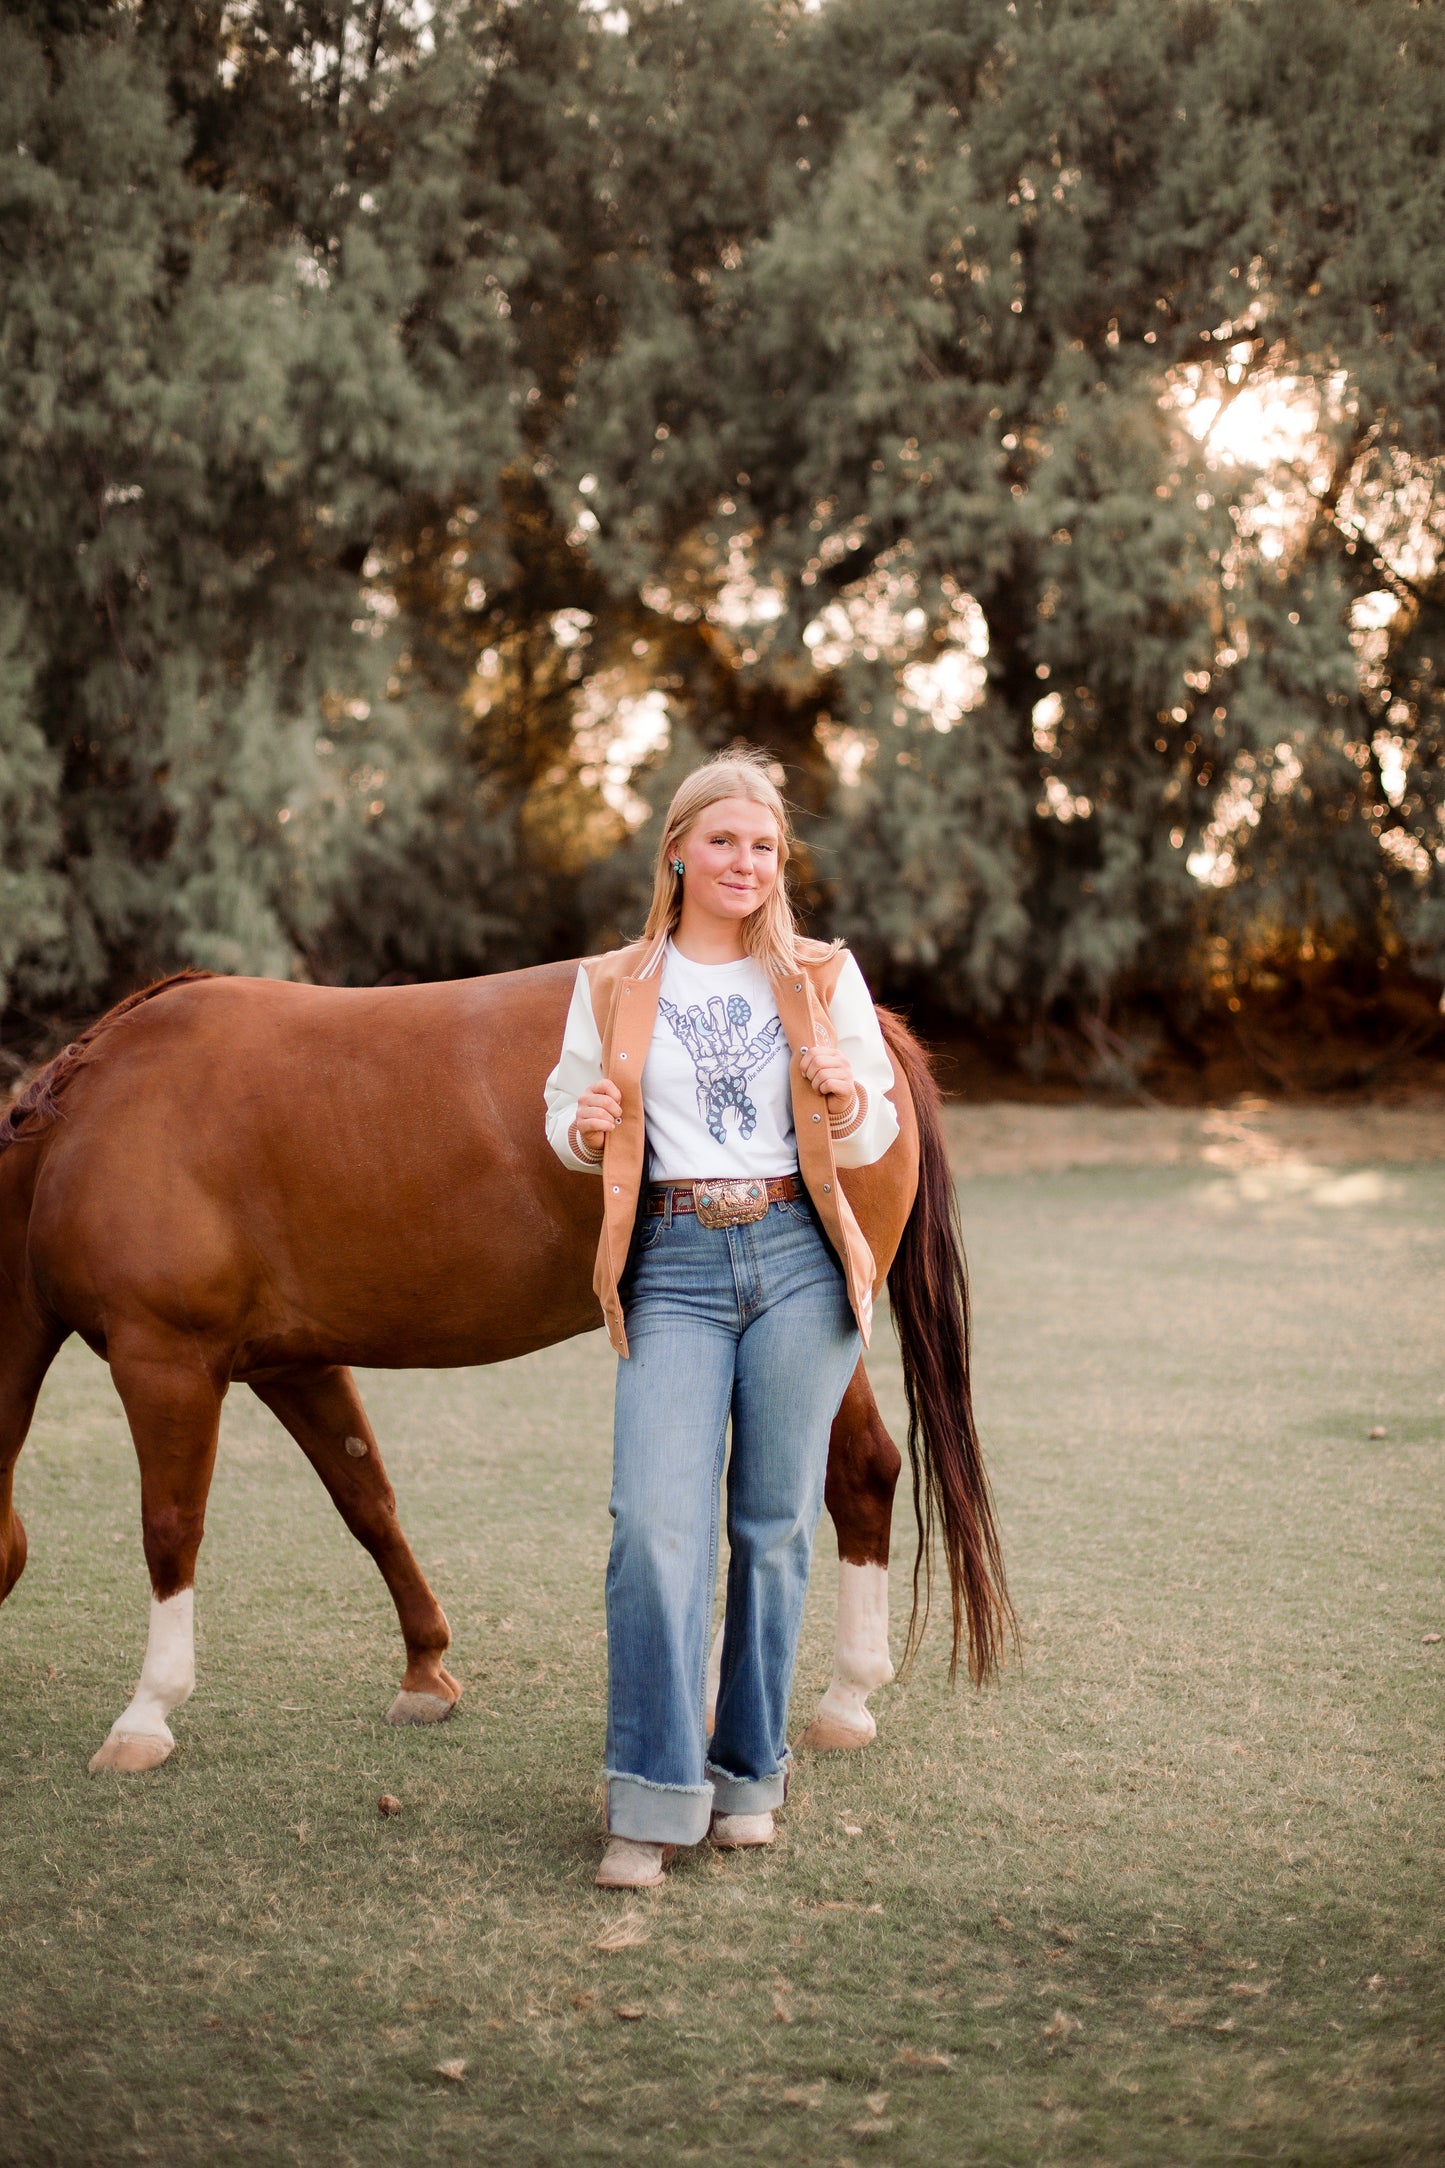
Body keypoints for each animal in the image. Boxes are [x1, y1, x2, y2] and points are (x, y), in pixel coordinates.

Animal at [0, 971, 1005, 1777]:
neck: (86, 1132)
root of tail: (864, 1030)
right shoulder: (295, 1363)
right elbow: (368, 1503)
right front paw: (424, 1670)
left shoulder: (165, 1359)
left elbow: (170, 1531)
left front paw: (146, 1714)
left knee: (856, 1475)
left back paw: (832, 1699)